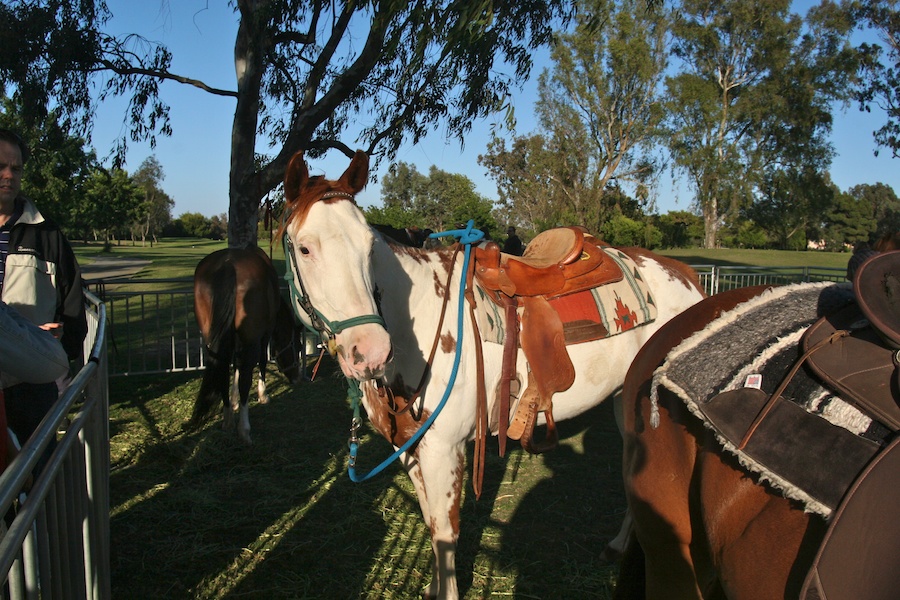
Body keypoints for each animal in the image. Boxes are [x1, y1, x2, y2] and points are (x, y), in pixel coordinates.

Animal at [191, 245, 306, 446]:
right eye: (298, 347)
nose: (296, 378)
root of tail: (228, 264)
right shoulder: (264, 334)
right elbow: (260, 363)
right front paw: (263, 395)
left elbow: (236, 364)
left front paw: (234, 399)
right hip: (251, 338)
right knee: (246, 376)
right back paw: (244, 429)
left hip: (211, 337)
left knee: (222, 371)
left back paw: (228, 418)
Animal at [282, 149, 704, 596]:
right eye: (305, 249)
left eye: (368, 248)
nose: (371, 351)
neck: (420, 318)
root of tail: (687, 277)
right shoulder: (412, 451)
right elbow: (430, 522)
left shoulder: (445, 451)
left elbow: (445, 532)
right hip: (626, 402)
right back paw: (618, 546)